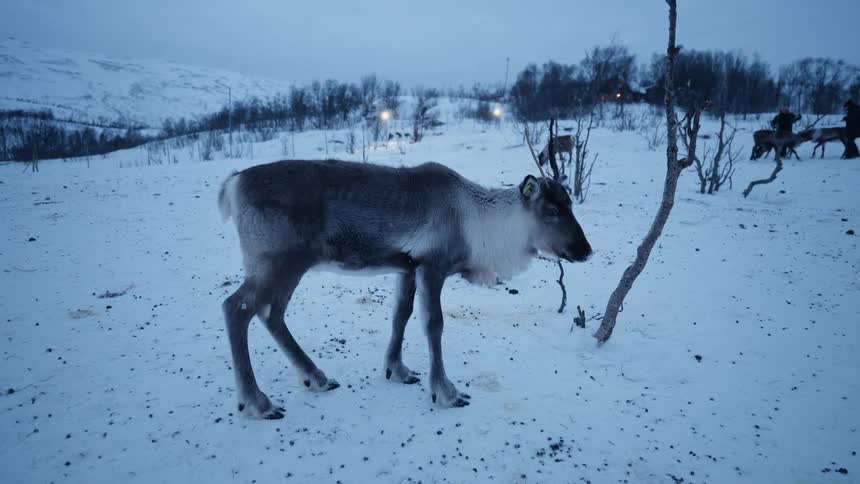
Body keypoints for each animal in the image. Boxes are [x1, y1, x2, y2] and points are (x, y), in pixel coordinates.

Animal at [217, 157, 592, 419]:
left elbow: (401, 314)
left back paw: (317, 378)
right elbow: (433, 324)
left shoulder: (407, 267)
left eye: (570, 205)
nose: (585, 250)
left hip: (285, 266)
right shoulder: (432, 266)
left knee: (271, 313)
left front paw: (397, 370)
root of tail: (234, 183)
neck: (478, 223)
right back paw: (258, 402)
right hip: (279, 261)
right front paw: (446, 392)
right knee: (237, 308)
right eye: (550, 210)